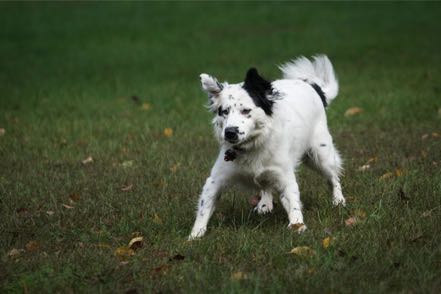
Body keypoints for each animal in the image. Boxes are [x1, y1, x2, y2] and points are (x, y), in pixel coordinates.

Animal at [187, 54, 346, 239]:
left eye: (246, 110)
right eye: (223, 111)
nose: (230, 132)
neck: (253, 145)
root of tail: (311, 85)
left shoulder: (285, 176)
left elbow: (293, 201)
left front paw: (297, 225)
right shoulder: (216, 179)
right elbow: (205, 206)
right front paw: (195, 234)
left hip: (320, 154)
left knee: (333, 177)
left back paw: (338, 200)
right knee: (266, 184)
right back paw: (265, 203)